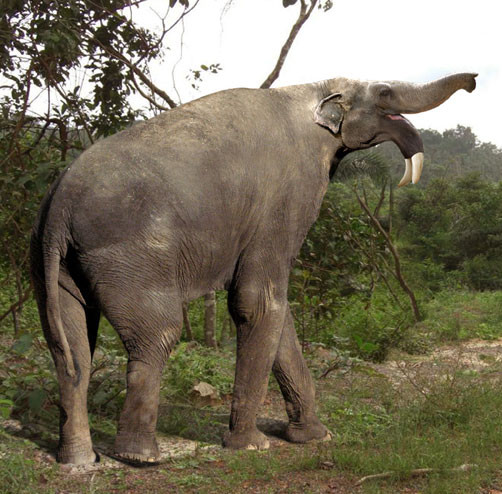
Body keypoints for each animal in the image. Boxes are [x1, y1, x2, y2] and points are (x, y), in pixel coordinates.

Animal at [29, 72, 476, 464]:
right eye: (384, 92)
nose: (473, 82)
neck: (313, 87)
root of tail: (59, 204)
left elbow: (276, 310)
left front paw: (315, 437)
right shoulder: (286, 197)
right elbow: (257, 301)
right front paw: (252, 446)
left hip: (52, 261)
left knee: (70, 349)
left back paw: (80, 459)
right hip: (131, 254)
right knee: (158, 335)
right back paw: (139, 458)